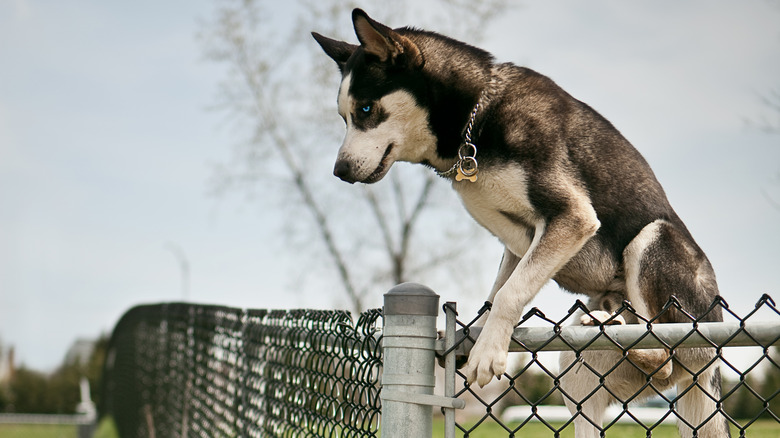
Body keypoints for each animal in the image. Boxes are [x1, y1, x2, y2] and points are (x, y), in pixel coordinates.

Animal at [314, 9, 728, 434]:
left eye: (365, 110)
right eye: (344, 117)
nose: (339, 171)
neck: (477, 120)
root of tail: (709, 361)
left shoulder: (571, 216)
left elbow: (510, 294)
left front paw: (487, 352)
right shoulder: (518, 244)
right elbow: (496, 291)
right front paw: (471, 335)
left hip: (654, 243)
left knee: (663, 354)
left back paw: (617, 328)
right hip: (576, 370)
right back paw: (605, 323)